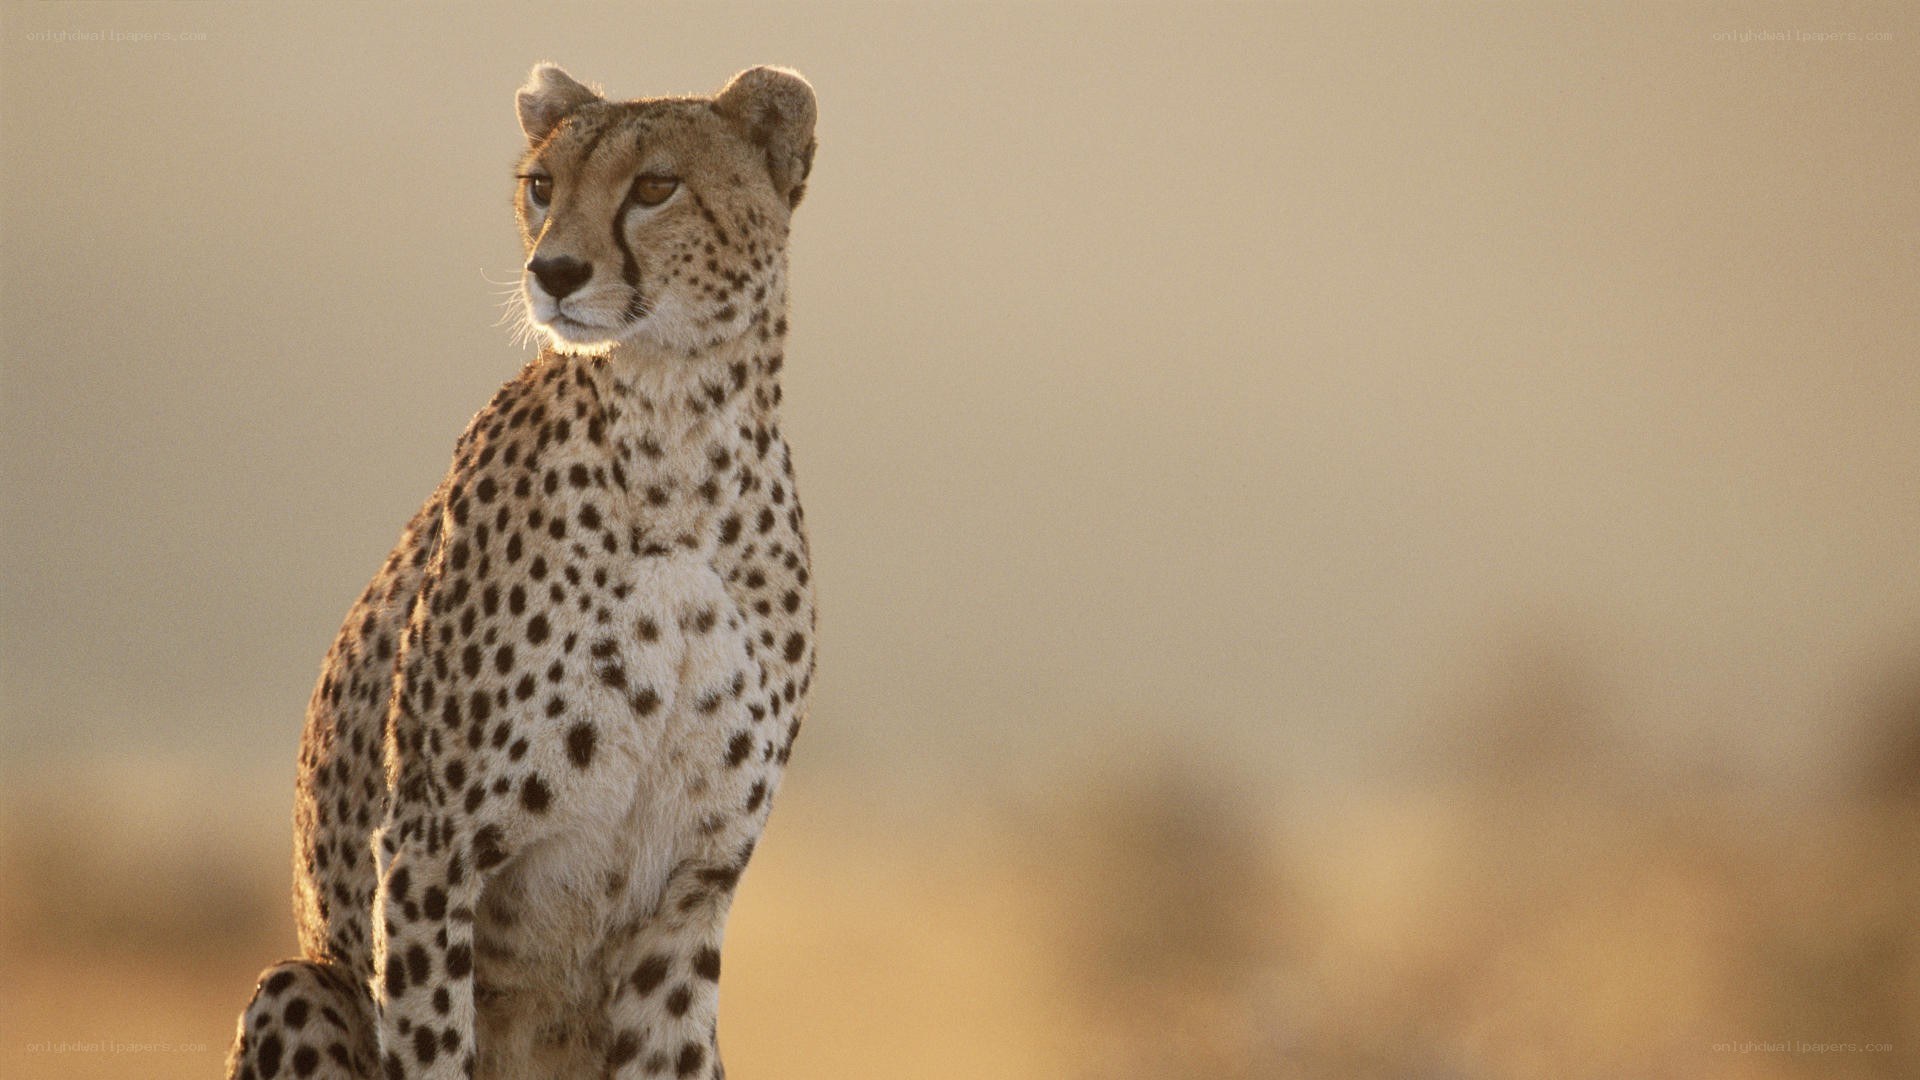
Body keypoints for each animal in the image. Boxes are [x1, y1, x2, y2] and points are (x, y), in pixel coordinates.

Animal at [227, 63, 819, 1080]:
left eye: (655, 186)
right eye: (542, 185)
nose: (555, 272)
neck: (680, 445)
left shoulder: (688, 892)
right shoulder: (430, 845)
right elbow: (431, 1040)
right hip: (294, 982)